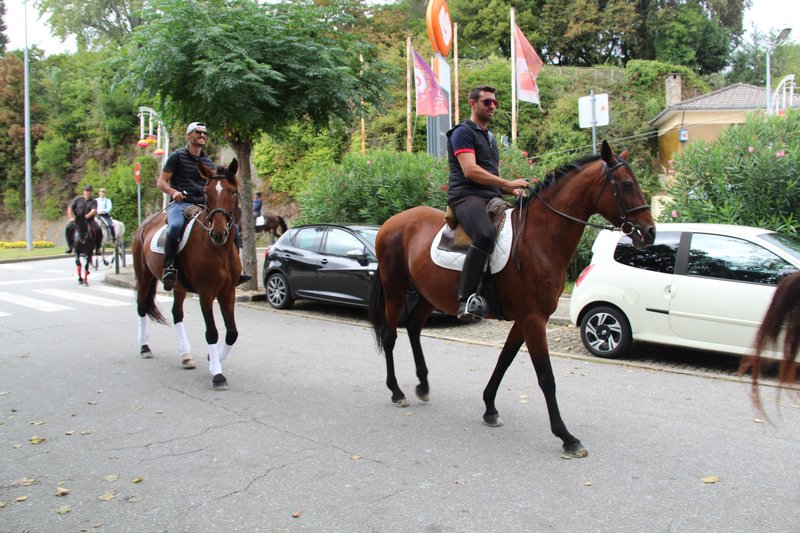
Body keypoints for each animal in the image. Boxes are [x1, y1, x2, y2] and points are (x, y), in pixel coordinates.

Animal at [133, 160, 241, 388]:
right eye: (207, 193)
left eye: (233, 192)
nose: (219, 233)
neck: (218, 250)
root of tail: (145, 223)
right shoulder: (206, 293)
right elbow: (212, 332)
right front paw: (217, 374)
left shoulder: (228, 292)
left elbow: (232, 333)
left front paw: (213, 358)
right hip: (144, 276)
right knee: (141, 307)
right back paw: (145, 348)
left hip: (179, 286)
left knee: (177, 314)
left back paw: (185, 355)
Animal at [368, 141, 656, 458]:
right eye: (627, 184)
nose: (650, 232)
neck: (539, 238)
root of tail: (390, 223)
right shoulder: (533, 320)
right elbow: (546, 378)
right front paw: (567, 437)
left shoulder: (525, 319)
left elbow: (504, 360)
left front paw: (489, 408)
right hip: (395, 289)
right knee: (391, 335)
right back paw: (397, 391)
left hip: (429, 294)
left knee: (414, 328)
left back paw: (422, 385)